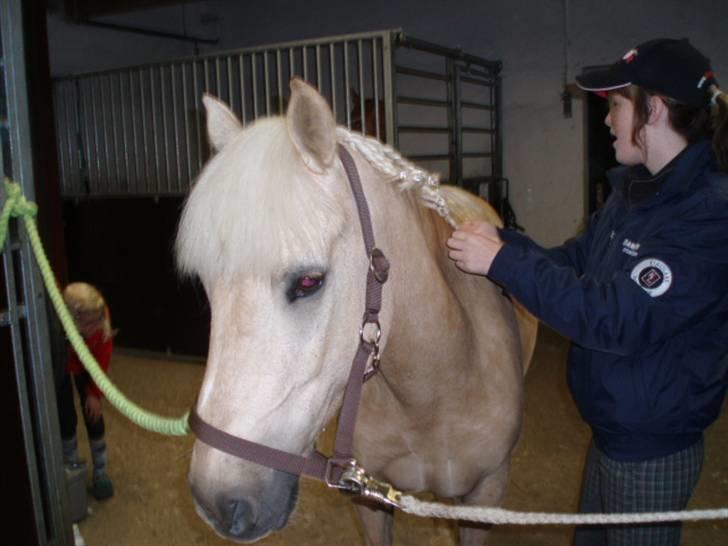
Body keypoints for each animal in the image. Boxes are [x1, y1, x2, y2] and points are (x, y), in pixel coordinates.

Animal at [177, 77, 536, 544]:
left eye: (308, 282)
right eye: (207, 285)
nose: (216, 502)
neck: (433, 392)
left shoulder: (483, 500)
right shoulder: (369, 499)